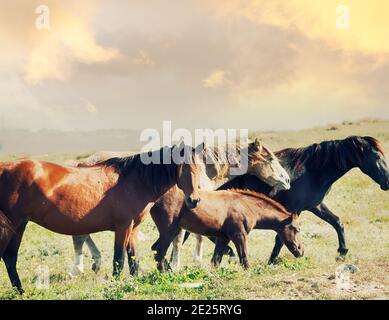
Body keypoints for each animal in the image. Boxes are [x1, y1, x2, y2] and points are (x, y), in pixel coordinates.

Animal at [0, 142, 206, 292]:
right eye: (184, 168)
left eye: (200, 169)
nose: (194, 200)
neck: (135, 181)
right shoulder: (123, 227)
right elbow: (119, 260)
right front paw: (115, 285)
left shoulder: (133, 228)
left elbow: (133, 260)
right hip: (14, 224)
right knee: (9, 256)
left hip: (19, 224)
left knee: (10, 257)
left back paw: (20, 291)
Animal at [152, 188, 304, 270]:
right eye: (297, 229)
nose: (301, 251)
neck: (246, 206)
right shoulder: (239, 236)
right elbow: (244, 258)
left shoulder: (223, 238)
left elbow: (215, 261)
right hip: (169, 232)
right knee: (159, 252)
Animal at [179, 136, 388, 264]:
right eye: (377, 156)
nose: (387, 181)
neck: (312, 171)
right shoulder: (293, 209)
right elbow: (281, 237)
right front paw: (272, 261)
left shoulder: (315, 206)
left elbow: (337, 222)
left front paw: (342, 252)